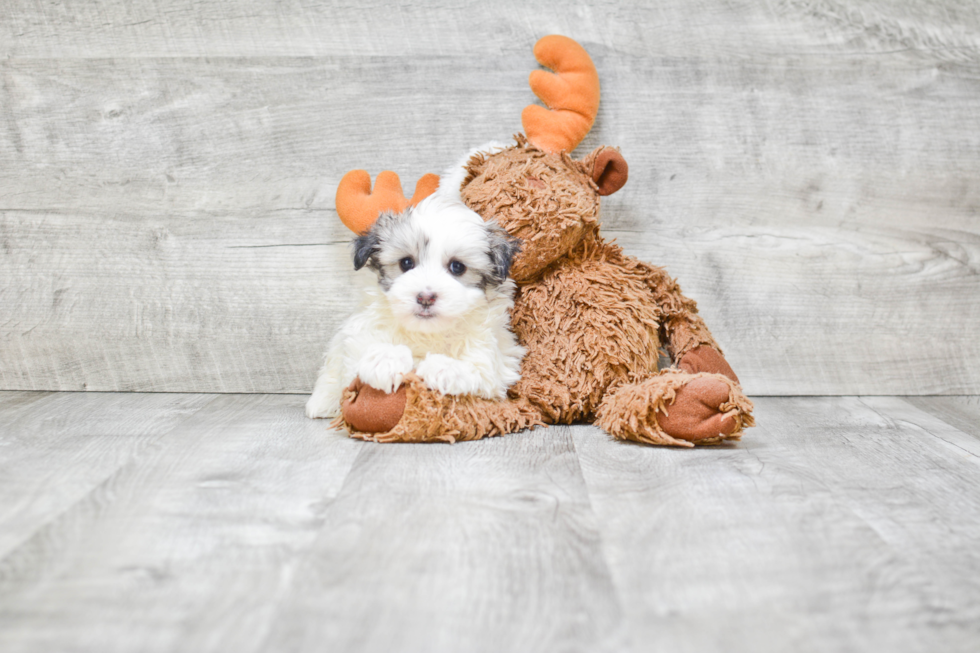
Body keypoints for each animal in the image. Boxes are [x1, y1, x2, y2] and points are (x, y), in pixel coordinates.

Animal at [304, 194, 524, 418]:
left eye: (457, 267)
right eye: (406, 263)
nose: (425, 297)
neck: (426, 333)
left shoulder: (496, 362)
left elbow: (480, 371)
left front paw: (444, 367)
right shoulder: (359, 335)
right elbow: (358, 358)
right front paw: (386, 359)